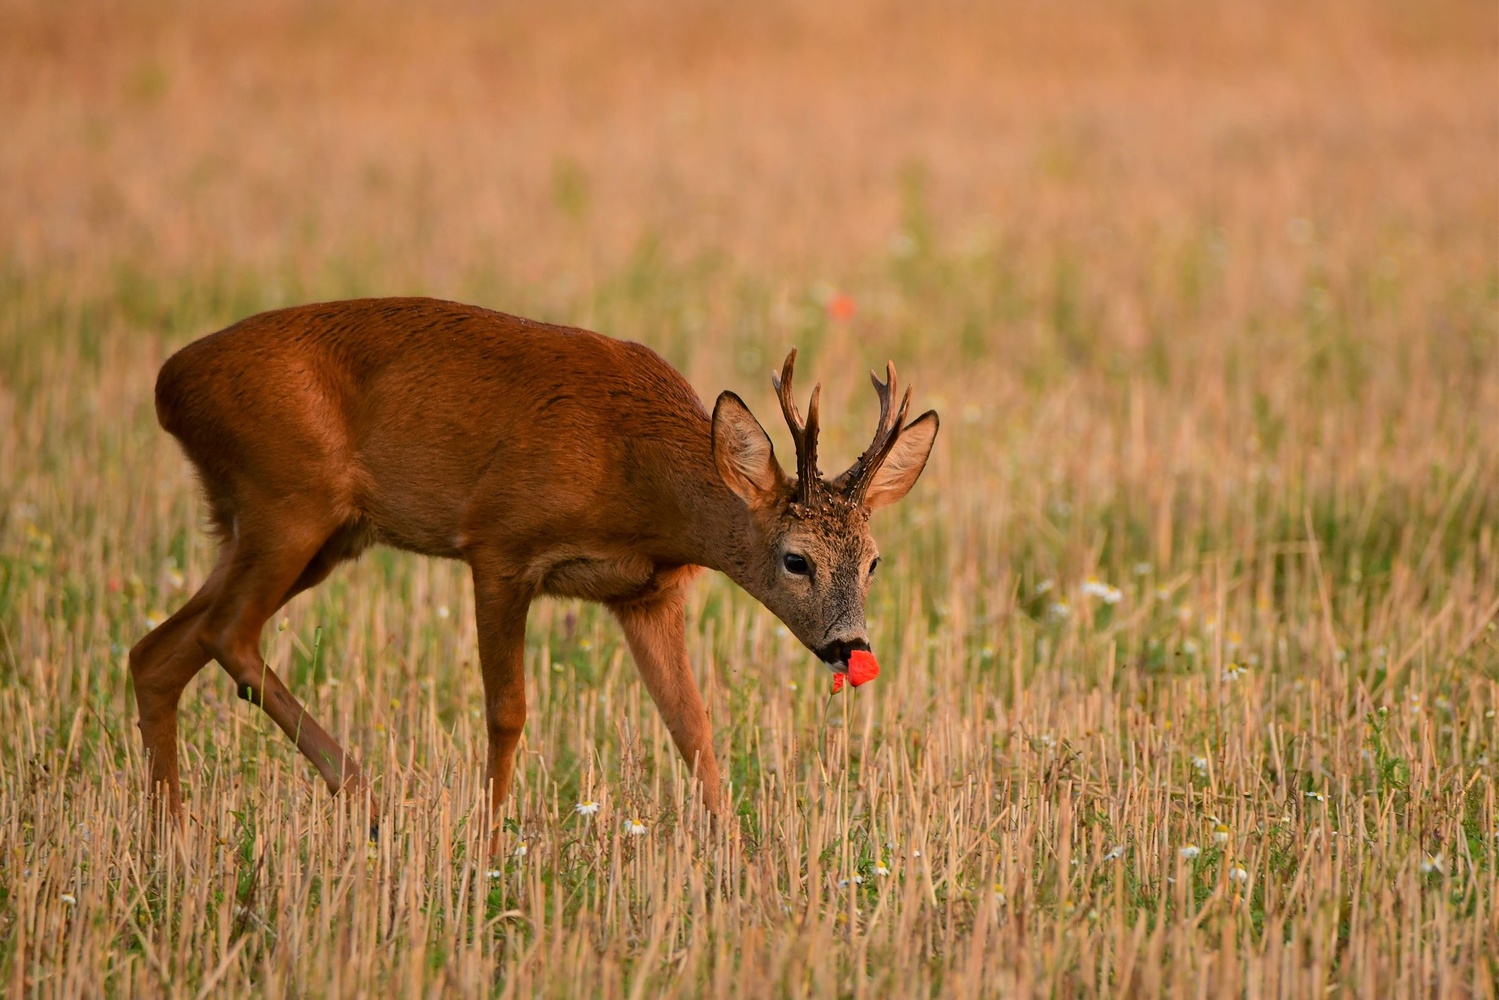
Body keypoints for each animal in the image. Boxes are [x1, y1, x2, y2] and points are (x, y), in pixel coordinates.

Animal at [134, 295, 941, 821]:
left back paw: (171, 836)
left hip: (303, 534)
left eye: (872, 561)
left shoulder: (649, 593)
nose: (850, 646)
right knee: (226, 635)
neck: (638, 481)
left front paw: (739, 860)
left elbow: (692, 725)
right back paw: (365, 795)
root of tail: (168, 385)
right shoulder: (498, 545)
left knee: (156, 651)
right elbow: (508, 712)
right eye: (796, 560)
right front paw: (488, 848)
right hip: (287, 501)